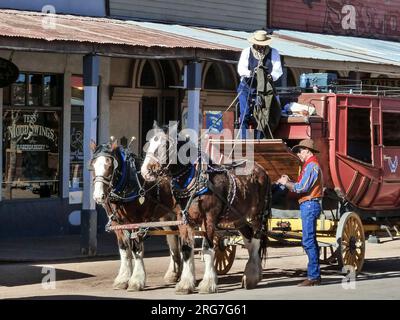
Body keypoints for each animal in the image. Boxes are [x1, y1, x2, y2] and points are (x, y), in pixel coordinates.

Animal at [90, 138, 181, 292]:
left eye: (110, 165)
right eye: (92, 165)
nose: (98, 196)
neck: (127, 183)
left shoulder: (137, 222)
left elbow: (136, 248)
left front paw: (136, 280)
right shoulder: (117, 223)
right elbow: (124, 249)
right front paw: (122, 279)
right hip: (168, 217)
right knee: (173, 239)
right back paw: (173, 274)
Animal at [141, 124, 272, 294]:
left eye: (165, 145)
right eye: (149, 143)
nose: (145, 171)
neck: (194, 181)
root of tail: (262, 170)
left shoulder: (208, 219)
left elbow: (208, 249)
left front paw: (208, 284)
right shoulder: (183, 220)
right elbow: (186, 249)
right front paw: (185, 284)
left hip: (256, 215)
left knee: (255, 241)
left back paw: (251, 277)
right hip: (239, 218)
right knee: (249, 240)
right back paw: (253, 275)